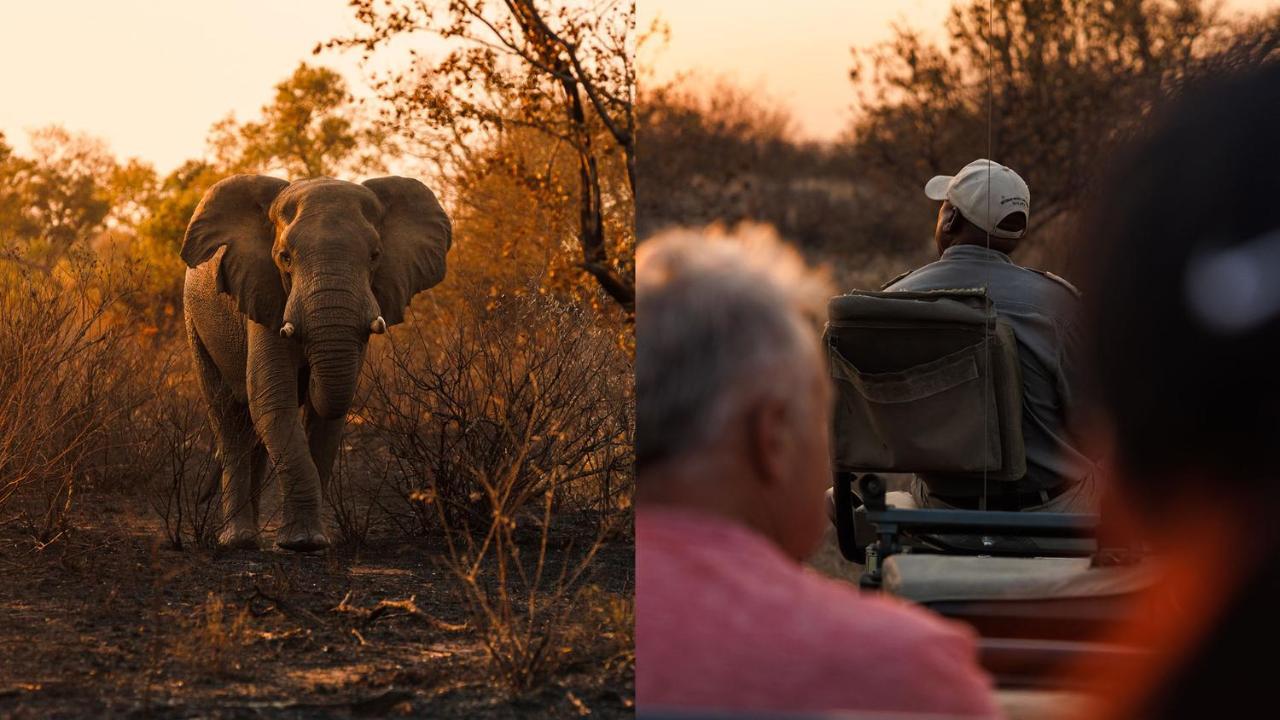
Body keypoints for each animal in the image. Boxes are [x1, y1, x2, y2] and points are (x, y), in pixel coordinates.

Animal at [183, 174, 453, 548]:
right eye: (284, 257)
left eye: (375, 256)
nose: (308, 368)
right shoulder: (264, 292)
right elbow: (273, 399)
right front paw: (301, 543)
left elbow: (326, 412)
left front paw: (310, 541)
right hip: (195, 323)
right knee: (231, 420)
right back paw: (238, 540)